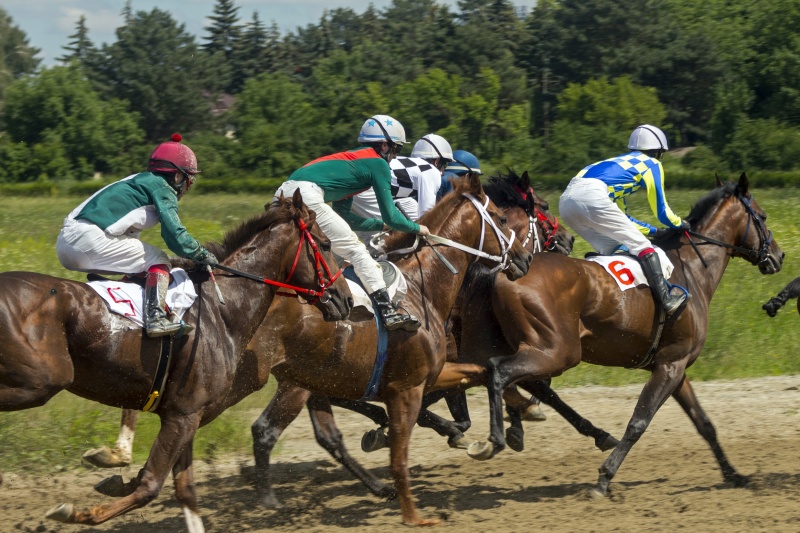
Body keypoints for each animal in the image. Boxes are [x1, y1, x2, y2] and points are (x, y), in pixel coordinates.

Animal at [0, 190, 350, 528]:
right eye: (327, 244)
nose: (345, 299)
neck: (222, 311)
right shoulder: (182, 416)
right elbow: (149, 485)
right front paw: (74, 512)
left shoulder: (187, 414)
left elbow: (185, 491)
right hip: (40, 382)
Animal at [462, 174, 780, 494]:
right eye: (763, 217)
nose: (779, 255)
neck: (691, 269)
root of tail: (508, 271)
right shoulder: (670, 365)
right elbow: (638, 421)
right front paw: (604, 478)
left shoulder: (675, 366)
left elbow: (704, 423)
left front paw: (733, 474)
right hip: (559, 351)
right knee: (500, 371)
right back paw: (496, 439)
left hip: (535, 347)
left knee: (523, 381)